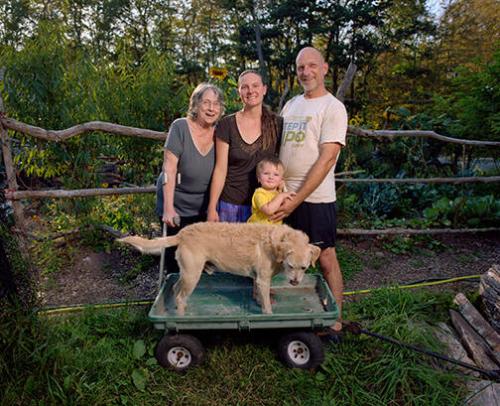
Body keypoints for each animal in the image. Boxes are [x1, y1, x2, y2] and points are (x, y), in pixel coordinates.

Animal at [118, 222, 320, 314]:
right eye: (290, 265)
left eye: (304, 268)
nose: (294, 282)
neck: (276, 243)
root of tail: (182, 233)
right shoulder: (264, 279)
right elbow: (267, 304)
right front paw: (268, 314)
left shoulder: (258, 278)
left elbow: (257, 293)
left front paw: (258, 302)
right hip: (192, 274)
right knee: (179, 294)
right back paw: (181, 317)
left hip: (187, 274)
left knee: (175, 289)